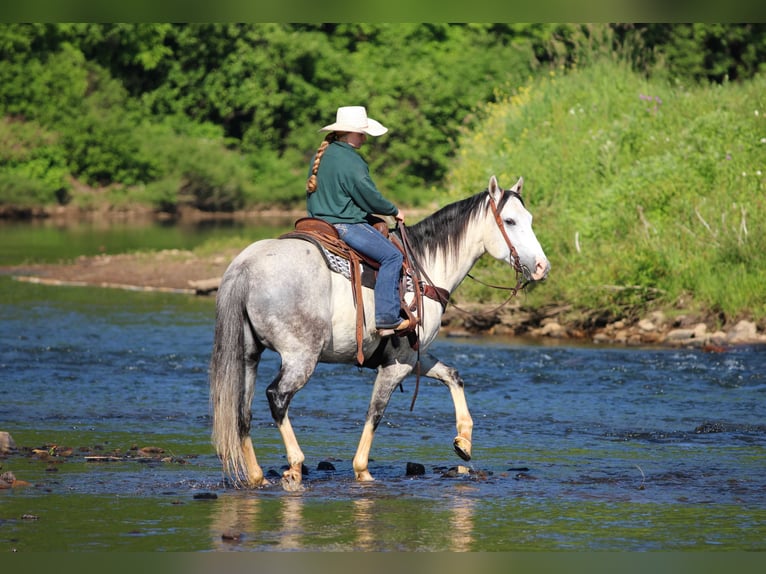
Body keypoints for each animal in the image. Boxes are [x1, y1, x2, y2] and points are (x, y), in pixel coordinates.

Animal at [209, 175, 550, 489]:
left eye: (531, 219)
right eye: (510, 221)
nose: (541, 267)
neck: (424, 269)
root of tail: (245, 268)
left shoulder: (413, 356)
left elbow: (453, 376)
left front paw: (463, 442)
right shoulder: (397, 364)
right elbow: (376, 411)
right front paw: (362, 469)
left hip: (248, 355)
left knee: (242, 410)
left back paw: (256, 475)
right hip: (301, 357)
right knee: (277, 397)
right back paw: (294, 465)